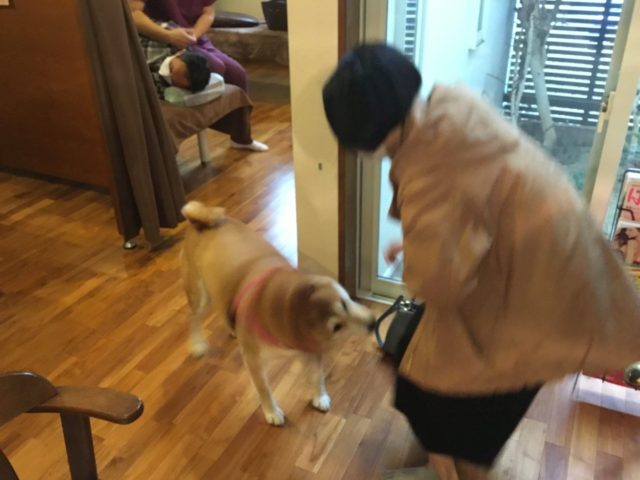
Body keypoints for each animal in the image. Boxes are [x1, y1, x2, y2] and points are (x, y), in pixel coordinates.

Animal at [180, 201, 376, 426]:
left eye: (344, 302)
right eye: (337, 326)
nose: (373, 322)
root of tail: (202, 222)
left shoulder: (311, 350)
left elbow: (317, 377)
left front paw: (319, 397)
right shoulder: (254, 361)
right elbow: (264, 389)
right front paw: (271, 411)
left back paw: (232, 328)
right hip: (200, 295)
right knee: (194, 319)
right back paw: (198, 343)